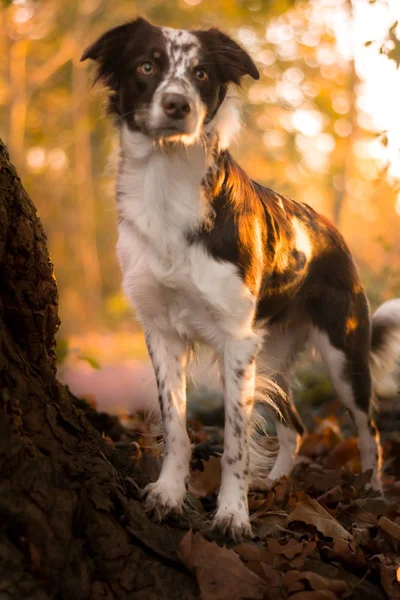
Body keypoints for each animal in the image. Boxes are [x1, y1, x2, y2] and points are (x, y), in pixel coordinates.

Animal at [81, 18, 400, 540]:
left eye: (202, 73)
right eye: (147, 66)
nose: (178, 105)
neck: (169, 187)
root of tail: (330, 230)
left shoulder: (235, 339)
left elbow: (234, 442)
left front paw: (233, 514)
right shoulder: (162, 332)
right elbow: (176, 426)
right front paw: (169, 494)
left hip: (342, 355)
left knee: (367, 427)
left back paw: (372, 492)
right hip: (269, 359)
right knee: (296, 426)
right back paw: (276, 483)